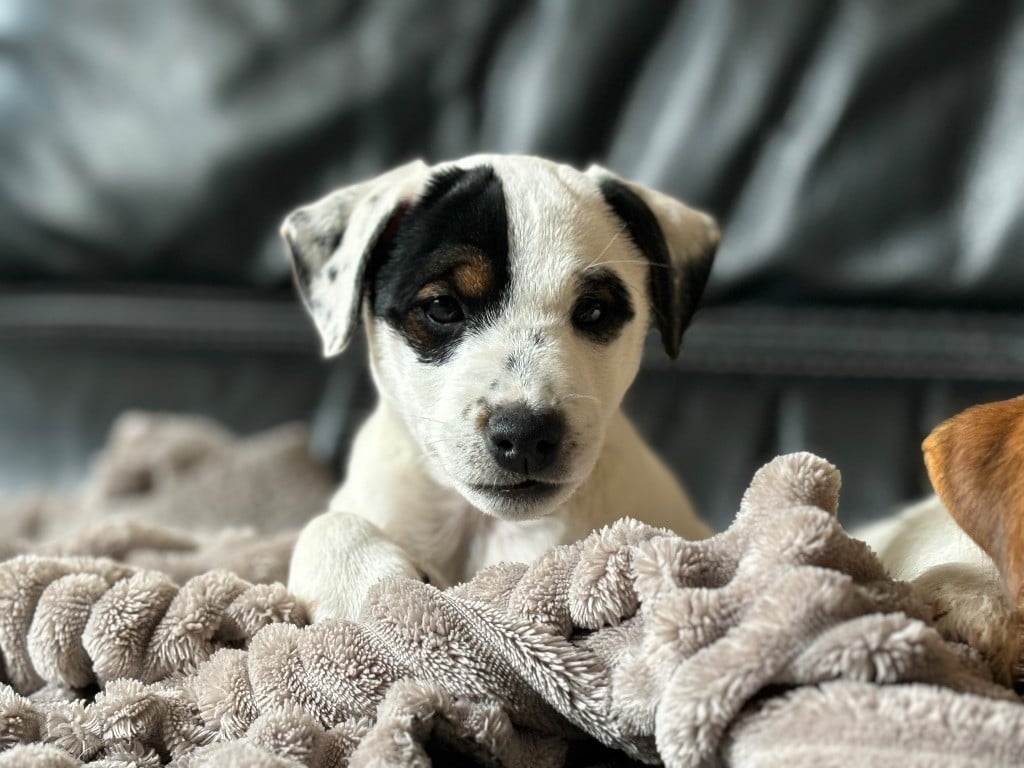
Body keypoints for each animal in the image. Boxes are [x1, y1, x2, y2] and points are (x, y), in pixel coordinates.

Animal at [280, 153, 720, 622]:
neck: (486, 527)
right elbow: (325, 524)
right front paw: (363, 586)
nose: (525, 435)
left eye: (594, 311)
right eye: (441, 307)